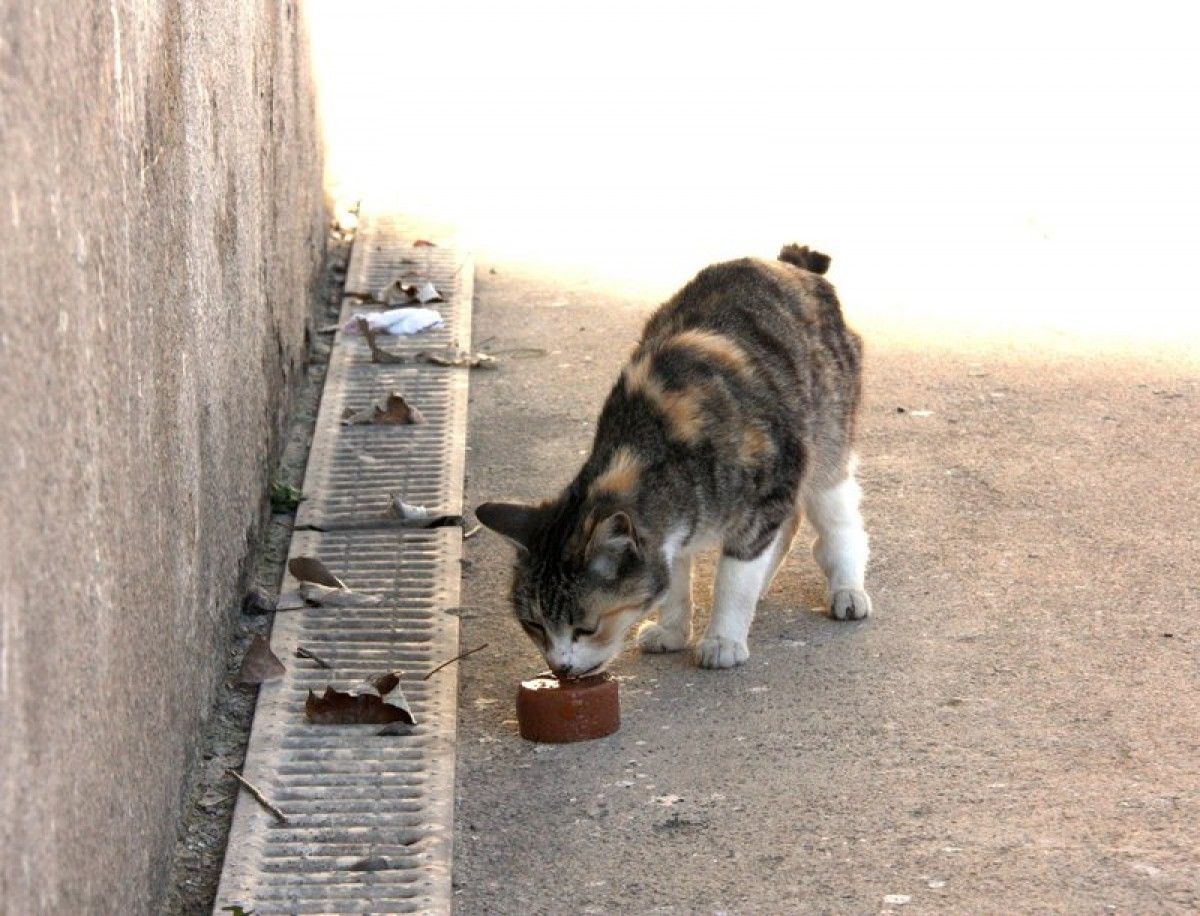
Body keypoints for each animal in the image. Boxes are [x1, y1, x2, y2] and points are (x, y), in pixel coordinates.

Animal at [475, 243, 873, 672]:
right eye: (534, 625)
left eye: (586, 627)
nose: (558, 667)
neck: (651, 444)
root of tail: (791, 265)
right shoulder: (676, 526)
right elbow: (675, 576)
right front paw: (672, 630)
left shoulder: (765, 493)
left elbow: (734, 577)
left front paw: (723, 638)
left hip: (826, 443)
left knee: (836, 519)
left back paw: (846, 587)